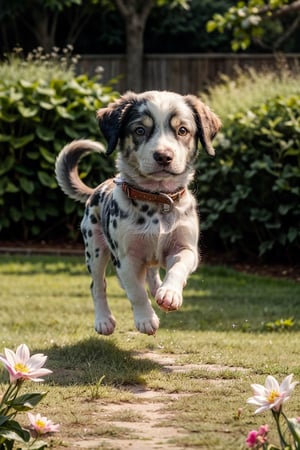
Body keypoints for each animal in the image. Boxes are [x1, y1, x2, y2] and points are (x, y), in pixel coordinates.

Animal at [55, 90, 221, 334]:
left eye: (182, 130)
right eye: (140, 130)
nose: (163, 156)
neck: (158, 200)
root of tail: (95, 189)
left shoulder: (187, 249)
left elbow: (178, 268)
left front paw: (170, 293)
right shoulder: (126, 257)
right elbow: (136, 291)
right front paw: (145, 319)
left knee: (151, 275)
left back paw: (159, 289)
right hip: (94, 247)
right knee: (98, 284)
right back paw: (103, 319)